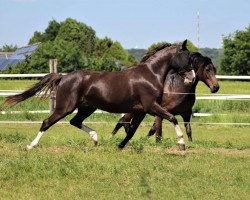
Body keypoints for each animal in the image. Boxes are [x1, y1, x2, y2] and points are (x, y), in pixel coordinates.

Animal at [1, 40, 193, 150]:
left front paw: (120, 146)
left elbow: (131, 130)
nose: (191, 77)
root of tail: (63, 77)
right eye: (186, 57)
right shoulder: (151, 106)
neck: (150, 74)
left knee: (75, 121)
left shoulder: (141, 110)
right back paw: (31, 146)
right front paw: (182, 144)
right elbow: (172, 118)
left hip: (87, 108)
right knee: (47, 122)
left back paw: (95, 138)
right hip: (65, 107)